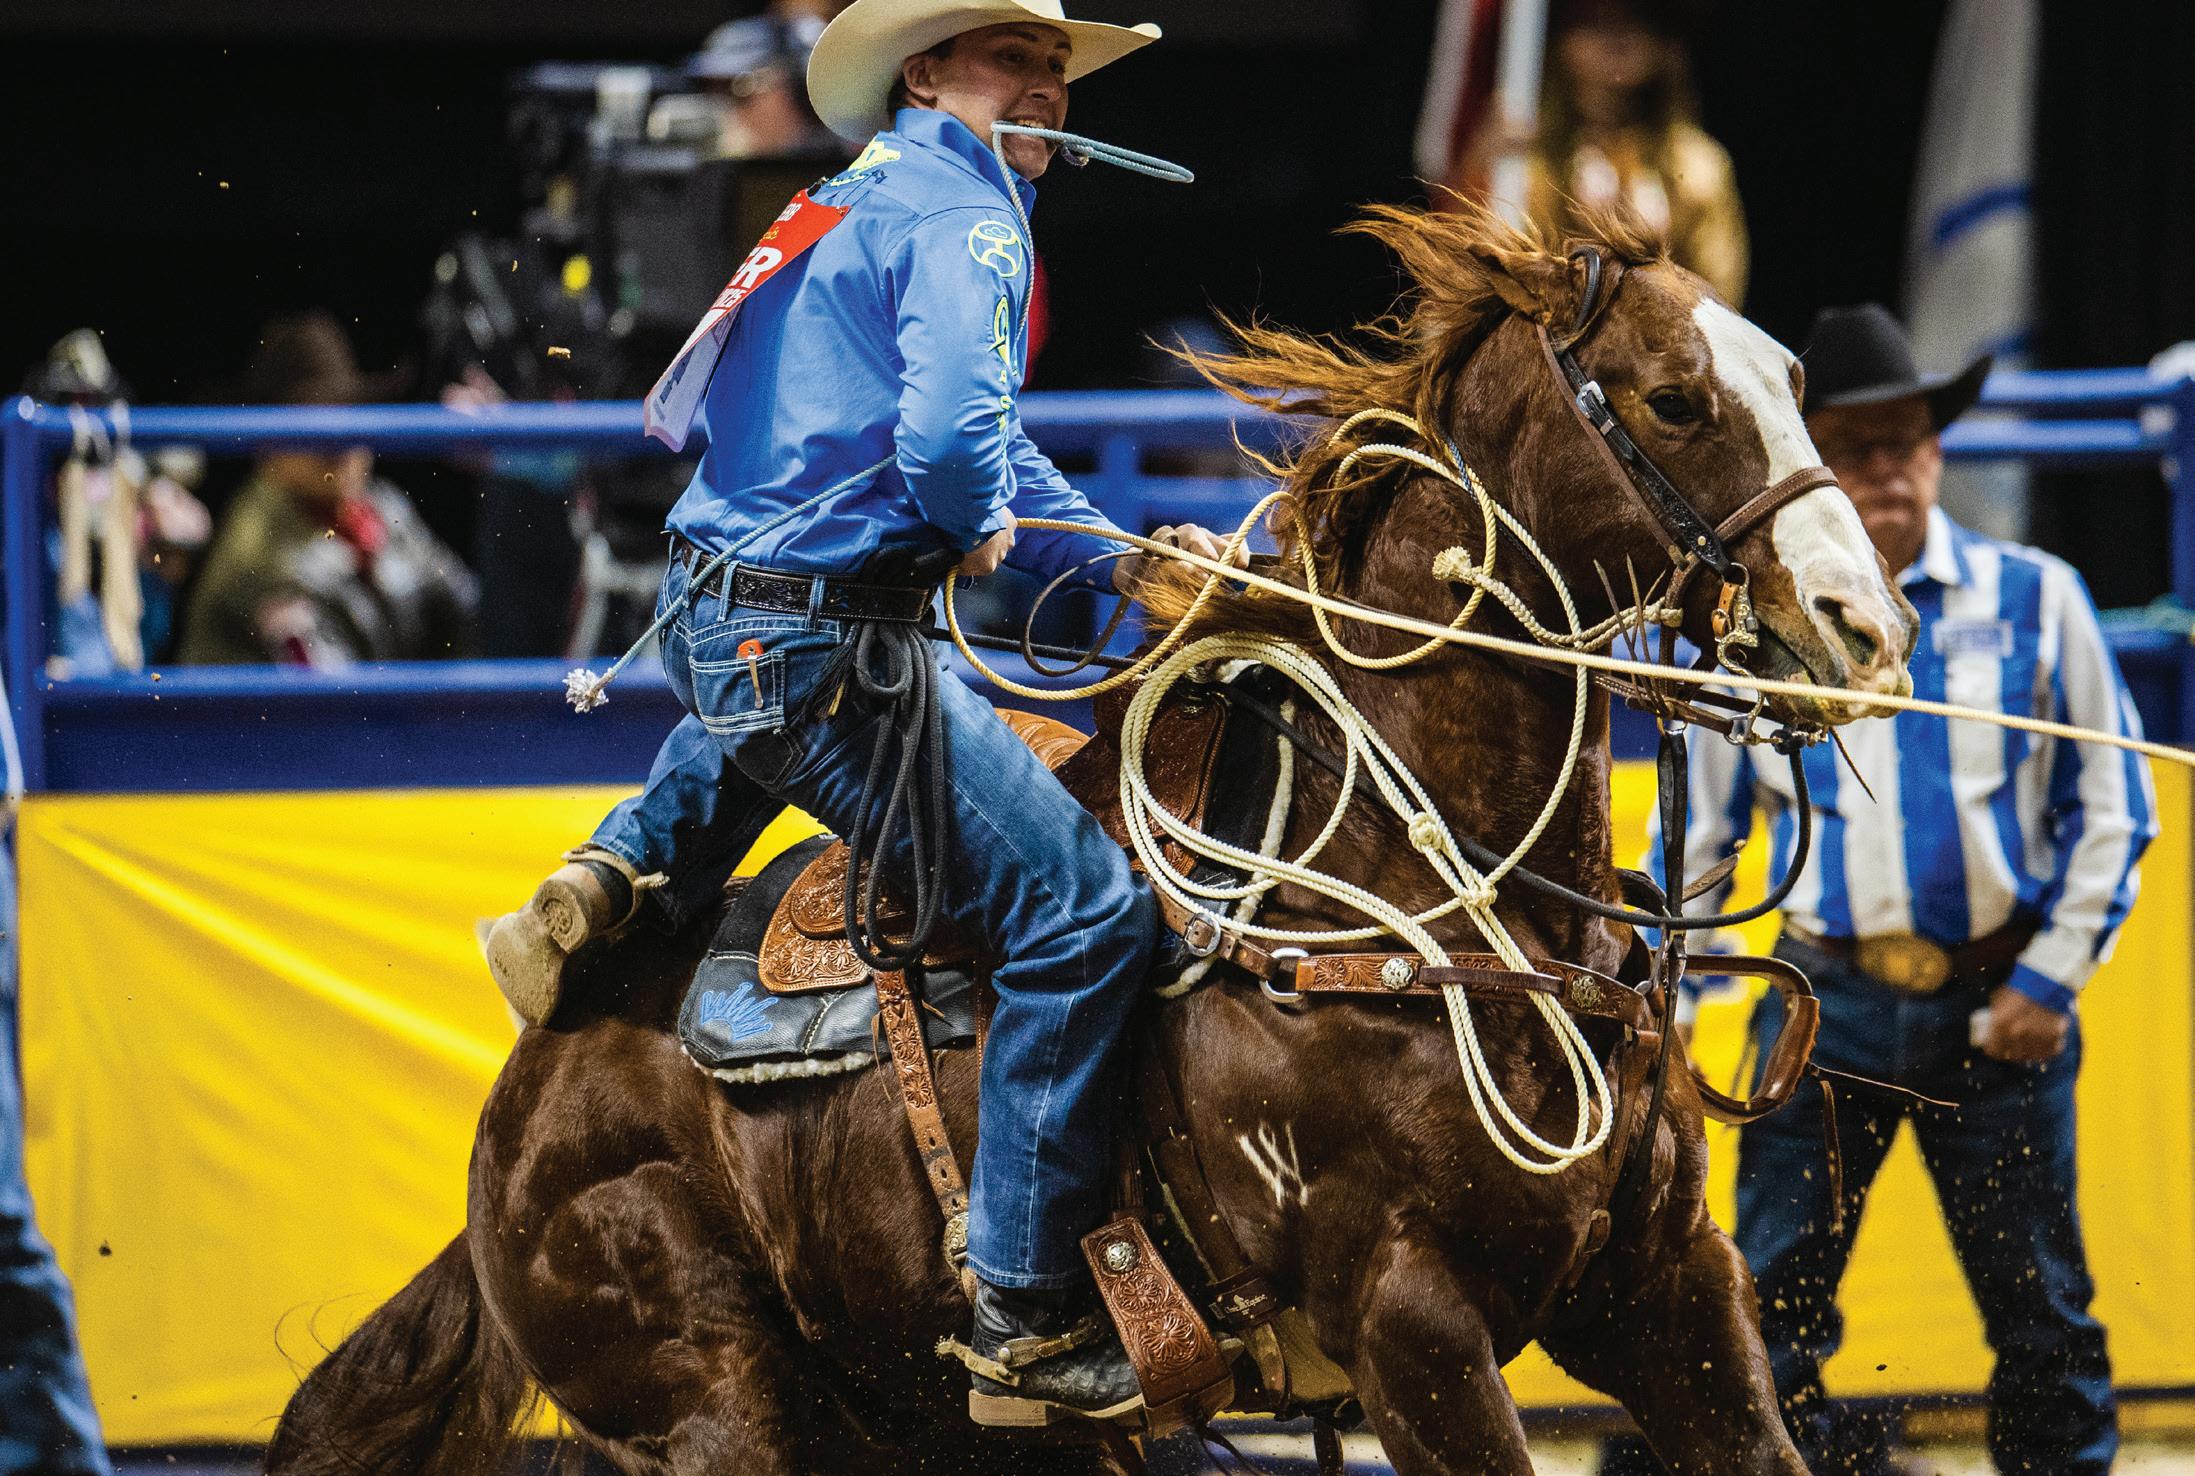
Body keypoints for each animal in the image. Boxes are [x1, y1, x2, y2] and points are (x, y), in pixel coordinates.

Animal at [264, 203, 1915, 1476]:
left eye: (1786, 375)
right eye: (1672, 399)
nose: (1860, 622)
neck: (1412, 894)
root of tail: (519, 1111)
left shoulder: (1665, 1295)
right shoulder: (1410, 1327)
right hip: (715, 1409)